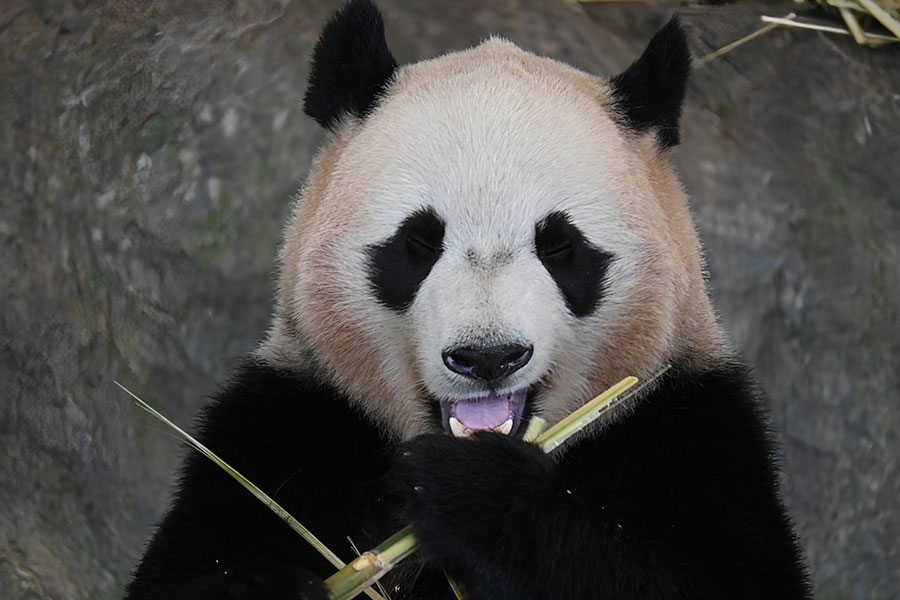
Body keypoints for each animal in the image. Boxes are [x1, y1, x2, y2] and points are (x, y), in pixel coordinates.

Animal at [128, 1, 816, 600]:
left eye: (560, 246)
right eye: (418, 242)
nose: (488, 358)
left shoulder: (689, 432)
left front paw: (473, 491)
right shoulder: (290, 422)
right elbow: (194, 563)